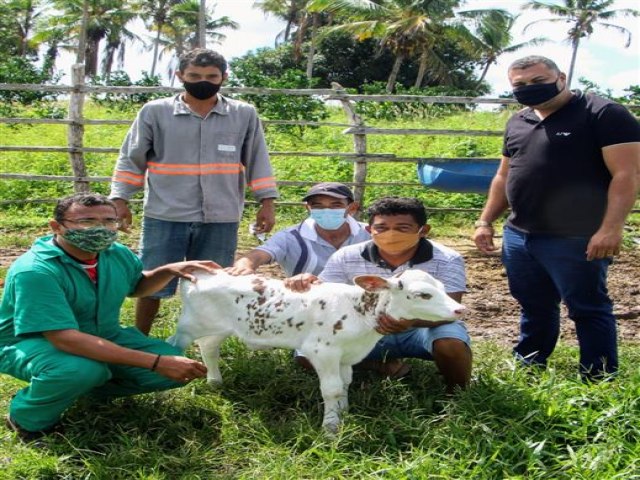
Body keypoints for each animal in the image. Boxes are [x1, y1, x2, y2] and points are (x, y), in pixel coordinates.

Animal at [168, 268, 462, 434]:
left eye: (443, 288)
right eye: (423, 294)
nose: (460, 309)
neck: (359, 314)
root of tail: (198, 274)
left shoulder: (347, 355)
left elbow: (344, 384)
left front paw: (343, 413)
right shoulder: (323, 351)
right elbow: (330, 389)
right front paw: (330, 428)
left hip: (220, 327)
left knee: (209, 347)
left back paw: (215, 382)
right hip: (190, 324)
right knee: (175, 344)